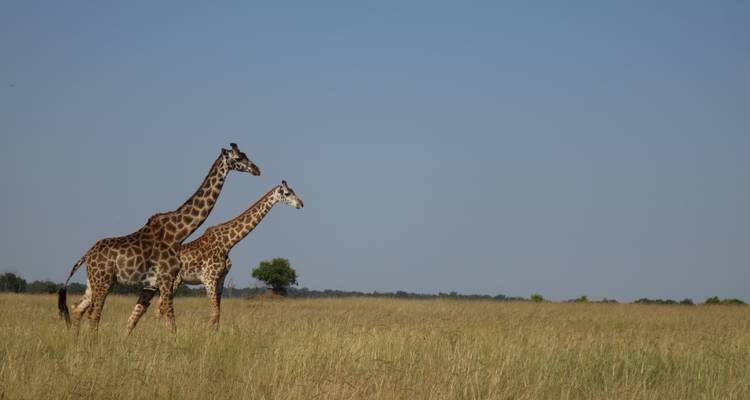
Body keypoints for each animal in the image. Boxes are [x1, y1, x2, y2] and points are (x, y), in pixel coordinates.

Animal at [57, 143, 261, 335]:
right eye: (238, 157)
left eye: (245, 154)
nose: (257, 169)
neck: (179, 233)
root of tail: (86, 255)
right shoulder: (166, 279)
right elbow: (171, 322)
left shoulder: (152, 285)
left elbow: (136, 319)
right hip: (103, 282)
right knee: (94, 315)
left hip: (93, 283)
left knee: (78, 308)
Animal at [155, 180, 303, 329]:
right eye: (287, 193)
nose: (301, 204)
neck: (228, 243)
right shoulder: (208, 279)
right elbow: (215, 314)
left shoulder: (221, 279)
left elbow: (218, 315)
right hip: (173, 280)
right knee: (161, 307)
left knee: (159, 307)